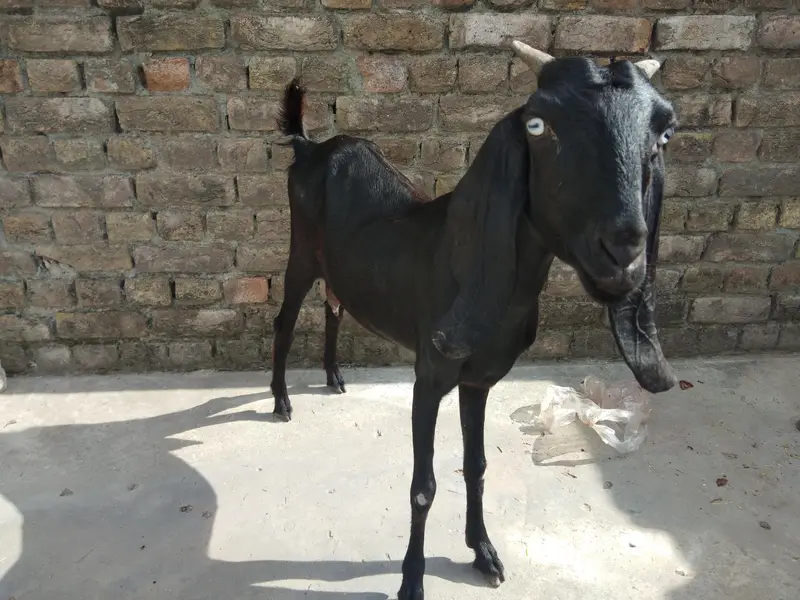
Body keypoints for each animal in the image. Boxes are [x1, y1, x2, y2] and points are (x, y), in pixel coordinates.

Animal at [269, 41, 679, 600]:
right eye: (537, 126)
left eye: (664, 132)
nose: (623, 252)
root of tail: (309, 148)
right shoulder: (430, 375)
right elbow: (423, 487)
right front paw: (412, 581)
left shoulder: (480, 380)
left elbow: (477, 465)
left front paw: (483, 553)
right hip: (301, 255)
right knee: (285, 320)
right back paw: (281, 401)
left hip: (337, 268)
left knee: (335, 304)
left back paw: (333, 376)